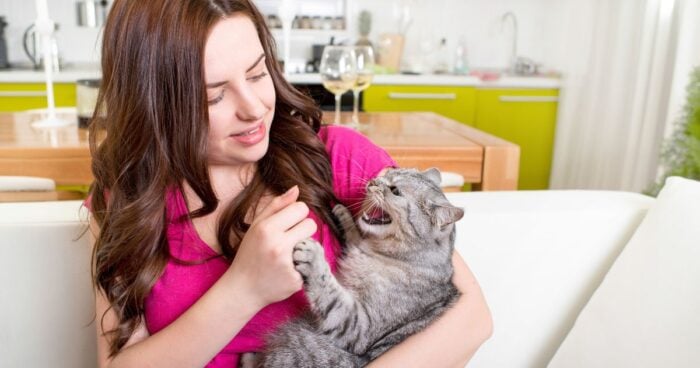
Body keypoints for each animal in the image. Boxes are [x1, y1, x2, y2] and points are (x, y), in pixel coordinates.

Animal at [241, 168, 464, 366]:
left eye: (395, 191)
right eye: (388, 173)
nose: (373, 182)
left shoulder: (360, 326)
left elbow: (330, 291)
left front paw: (313, 256)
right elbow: (354, 233)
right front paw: (343, 213)